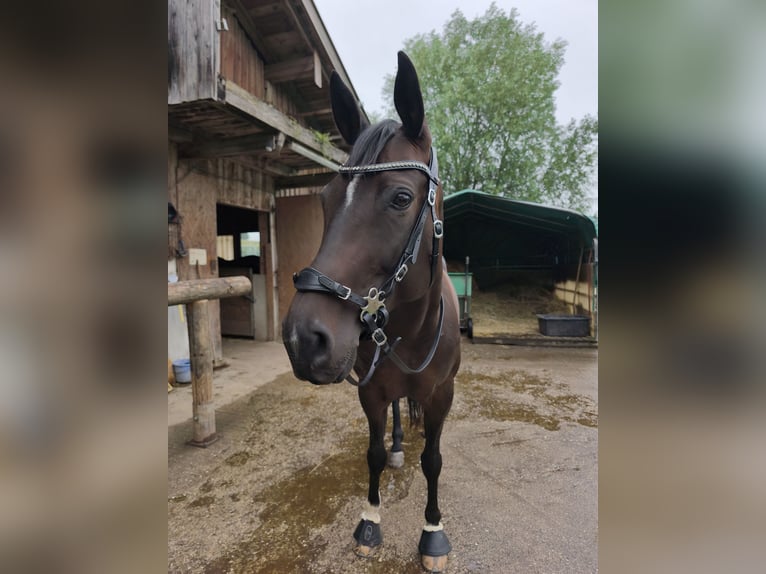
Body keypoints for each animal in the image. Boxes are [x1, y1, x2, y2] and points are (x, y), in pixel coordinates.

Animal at [282, 51, 461, 573]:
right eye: (324, 200)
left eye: (401, 197)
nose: (304, 339)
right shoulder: (371, 392)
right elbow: (374, 455)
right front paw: (369, 522)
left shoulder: (442, 395)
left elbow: (434, 461)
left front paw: (433, 533)